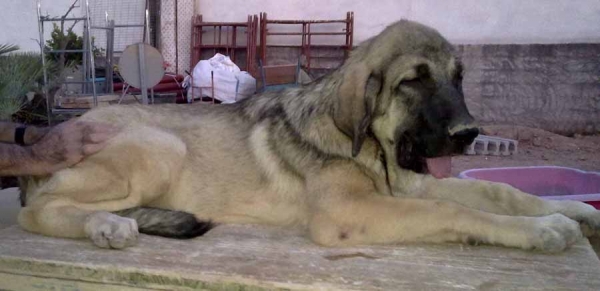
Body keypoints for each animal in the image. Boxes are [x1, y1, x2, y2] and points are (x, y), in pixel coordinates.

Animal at [18, 21, 600, 253]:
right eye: (413, 81)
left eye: (458, 77)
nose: (468, 133)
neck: (369, 148)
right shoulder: (348, 215)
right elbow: (457, 211)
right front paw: (542, 230)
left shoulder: (412, 183)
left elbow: (497, 190)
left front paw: (574, 209)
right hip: (161, 147)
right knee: (37, 210)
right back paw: (104, 226)